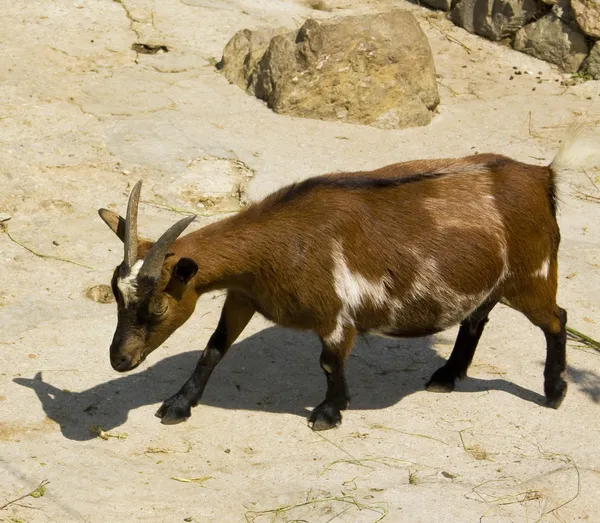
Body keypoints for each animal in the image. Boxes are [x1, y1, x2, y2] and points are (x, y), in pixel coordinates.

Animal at [96, 124, 596, 434]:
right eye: (115, 297)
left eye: (157, 306)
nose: (119, 360)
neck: (278, 244)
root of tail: (541, 176)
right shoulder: (243, 296)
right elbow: (213, 349)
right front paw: (178, 405)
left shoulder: (335, 316)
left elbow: (329, 362)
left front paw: (329, 412)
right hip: (492, 282)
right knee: (476, 318)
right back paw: (446, 375)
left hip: (532, 277)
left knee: (557, 318)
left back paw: (554, 392)